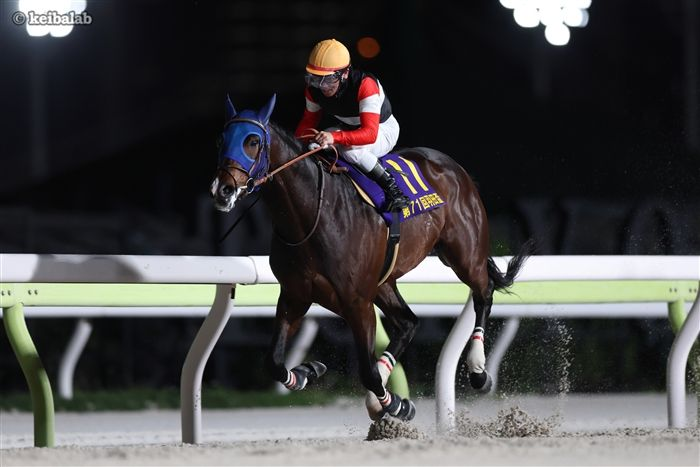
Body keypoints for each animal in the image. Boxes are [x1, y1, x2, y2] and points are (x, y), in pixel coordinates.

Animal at [210, 94, 532, 421]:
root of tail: (453, 167)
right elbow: (273, 363)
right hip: (384, 281)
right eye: (221, 138)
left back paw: (478, 369)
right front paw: (308, 371)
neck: (312, 216)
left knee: (483, 292)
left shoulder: (357, 303)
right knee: (408, 323)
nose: (223, 190)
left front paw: (397, 403)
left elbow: (367, 373)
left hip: (464, 254)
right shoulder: (295, 296)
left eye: (252, 140)